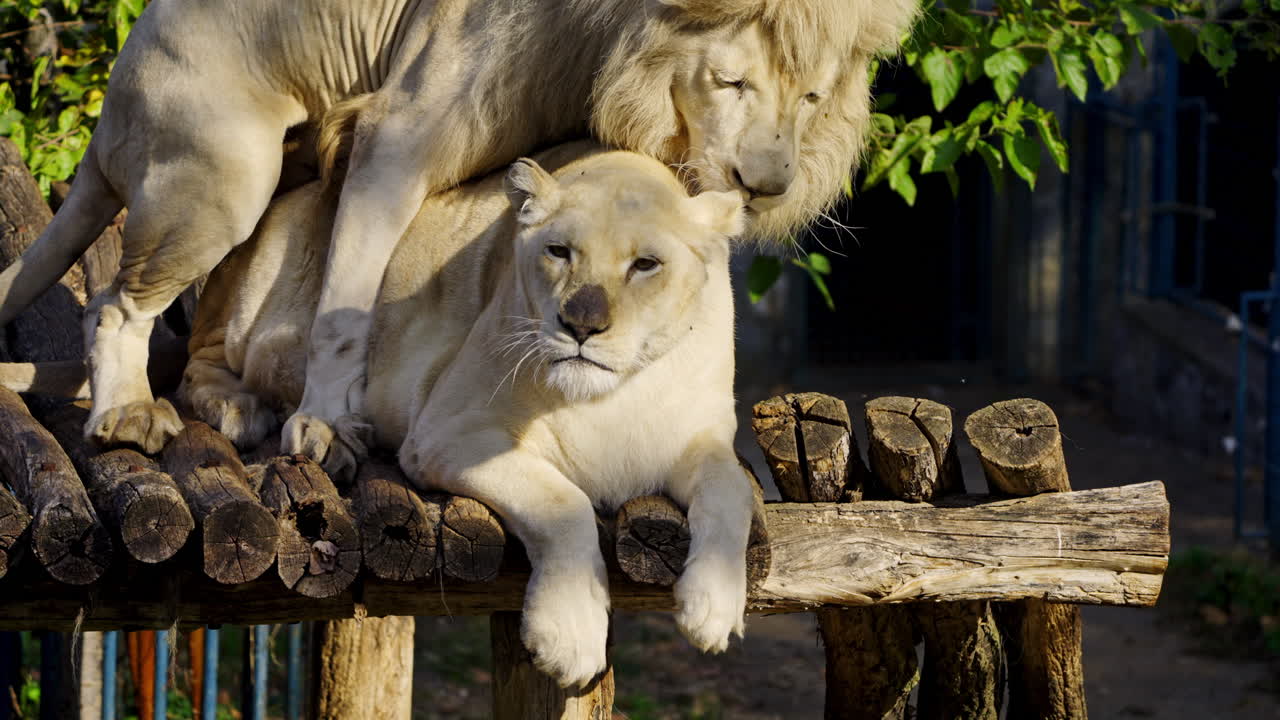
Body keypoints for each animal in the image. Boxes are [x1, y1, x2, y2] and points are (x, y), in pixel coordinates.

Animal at [0, 0, 918, 469]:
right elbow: (345, 306)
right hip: (223, 175)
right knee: (118, 305)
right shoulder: (395, 135)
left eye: (812, 99)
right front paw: (327, 424)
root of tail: (109, 113)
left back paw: (233, 404)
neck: (609, 41)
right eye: (730, 82)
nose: (769, 186)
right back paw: (133, 414)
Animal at [174, 141, 752, 687]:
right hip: (258, 314)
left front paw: (712, 609)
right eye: (559, 252)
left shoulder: (703, 438)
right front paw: (568, 636)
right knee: (199, 357)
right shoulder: (448, 434)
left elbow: (735, 489)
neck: (610, 398)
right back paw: (248, 412)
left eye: (646, 264)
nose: (581, 325)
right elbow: (563, 505)